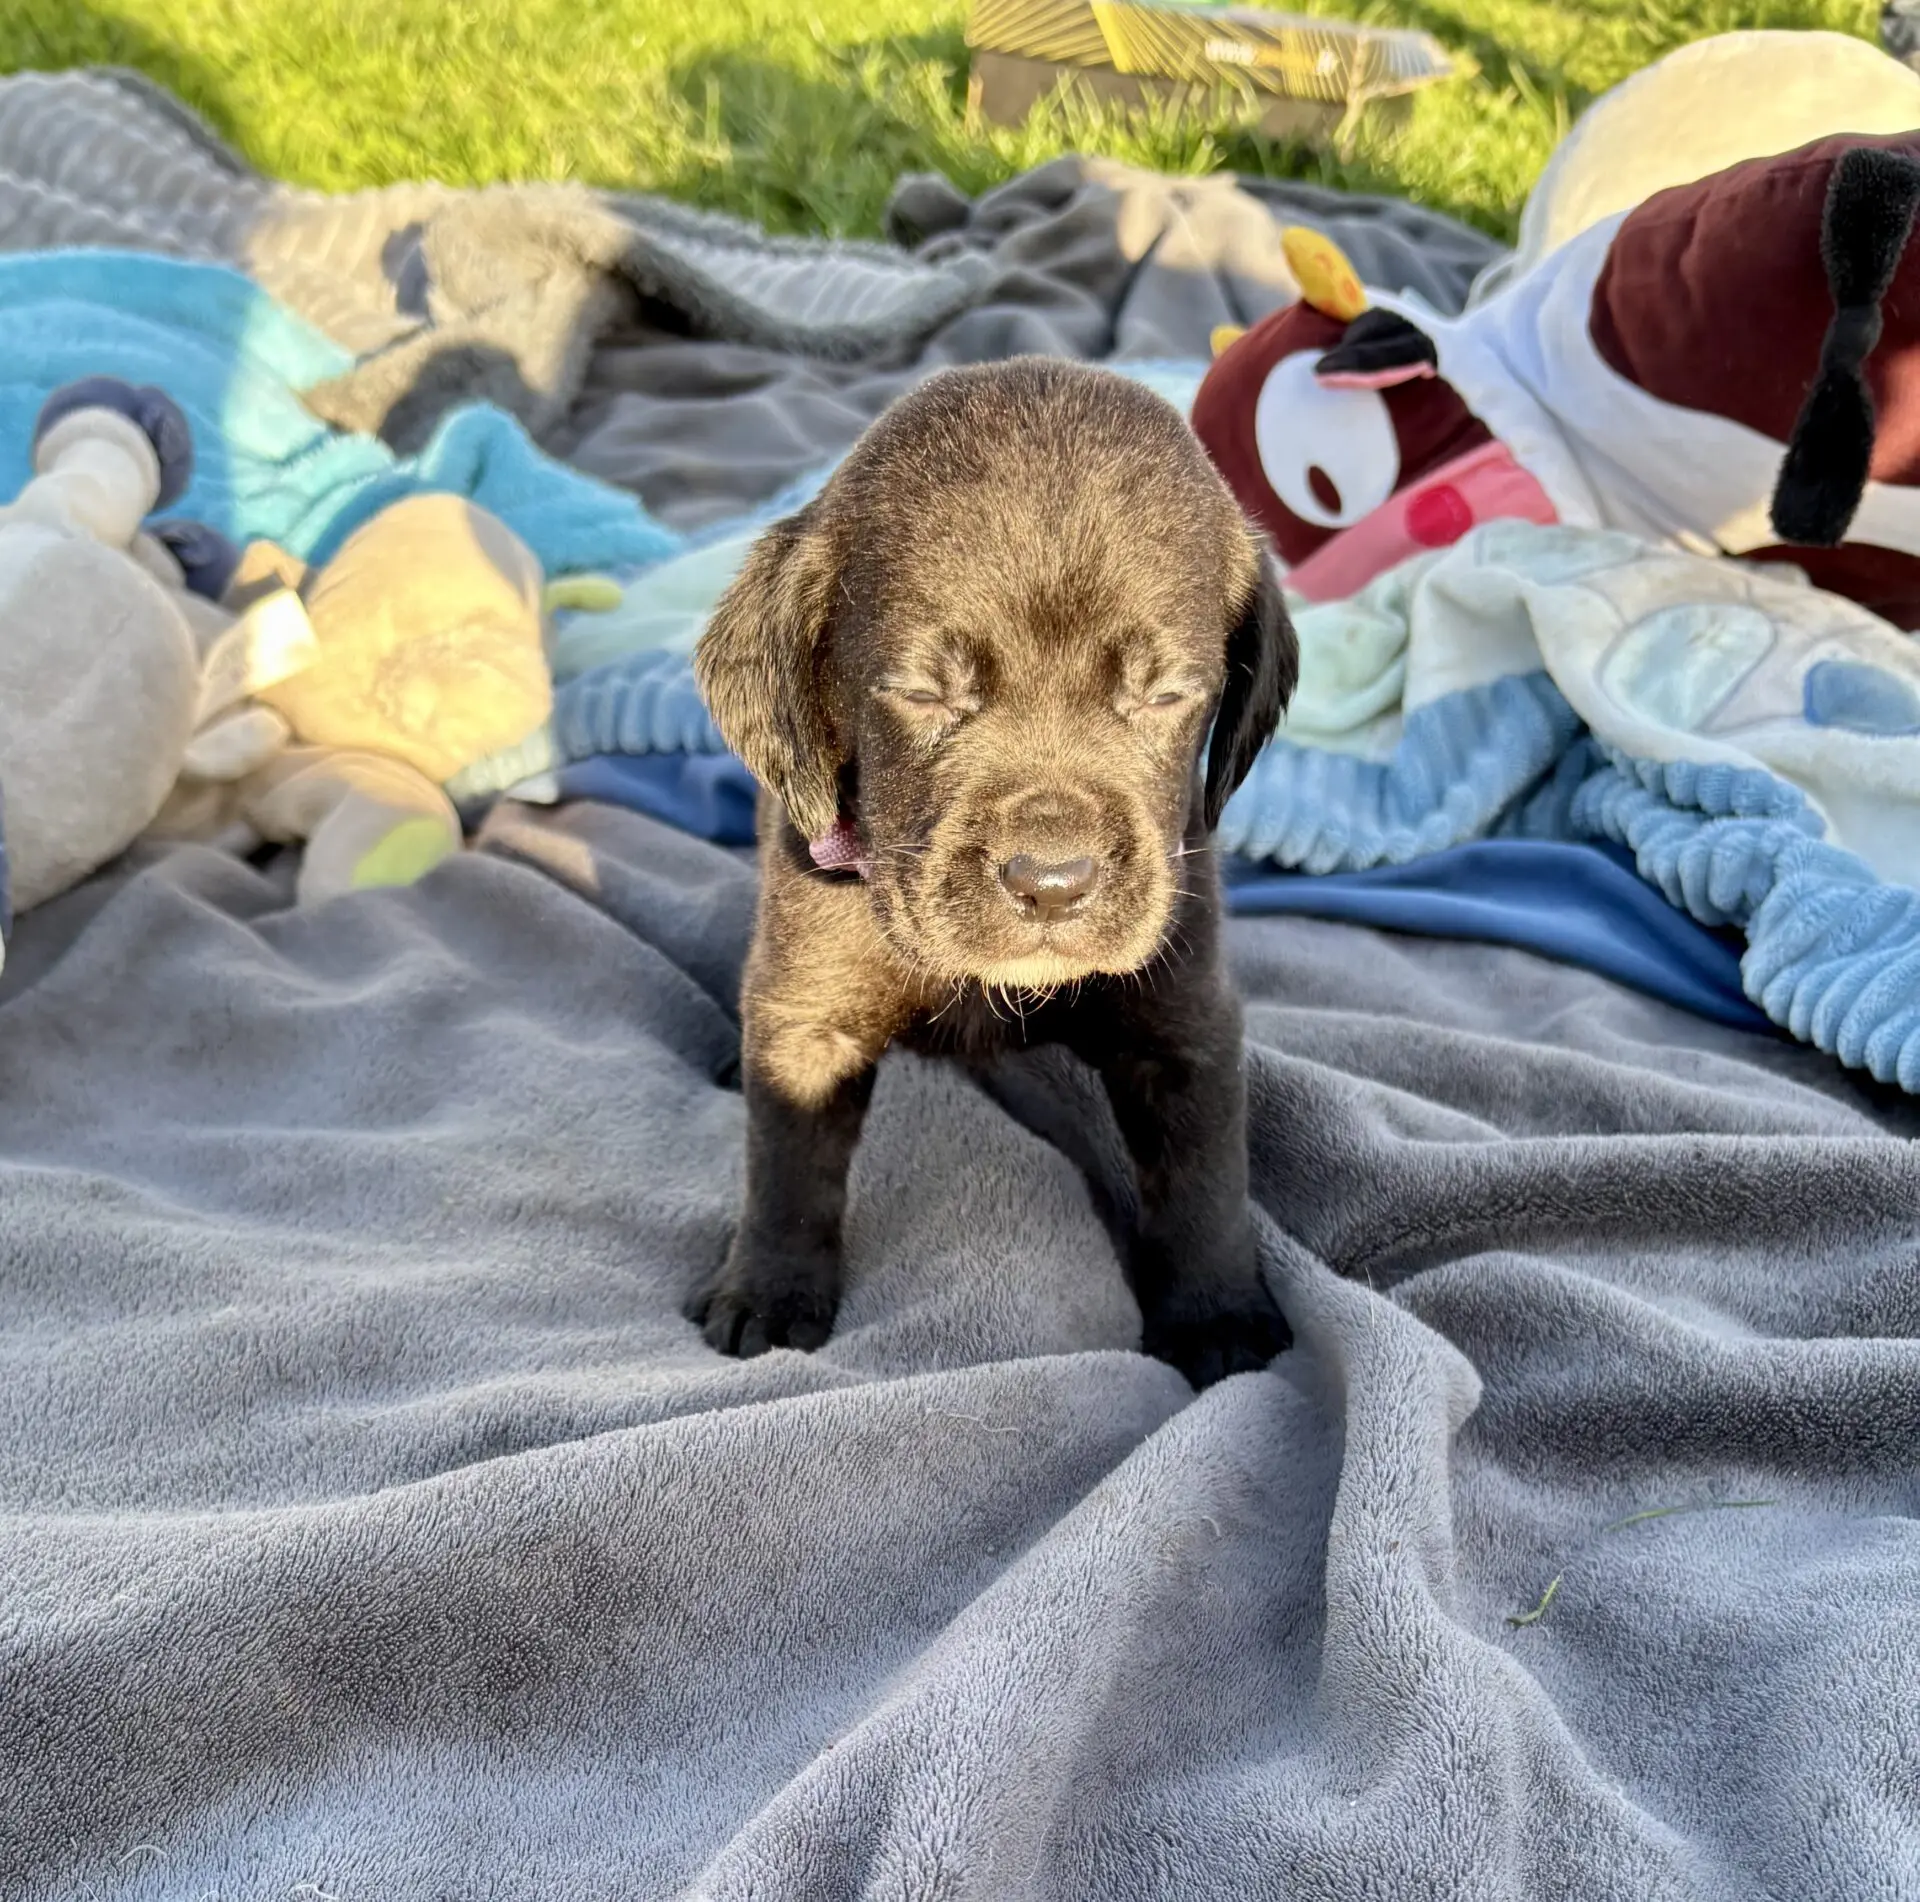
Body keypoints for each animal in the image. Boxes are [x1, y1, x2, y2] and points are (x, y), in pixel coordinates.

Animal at [689, 357, 1299, 1388]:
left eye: (1165, 694)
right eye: (923, 693)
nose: (1051, 882)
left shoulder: (1185, 1019)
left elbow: (1204, 1179)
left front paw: (1218, 1314)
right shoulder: (810, 1008)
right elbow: (787, 1161)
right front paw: (767, 1289)